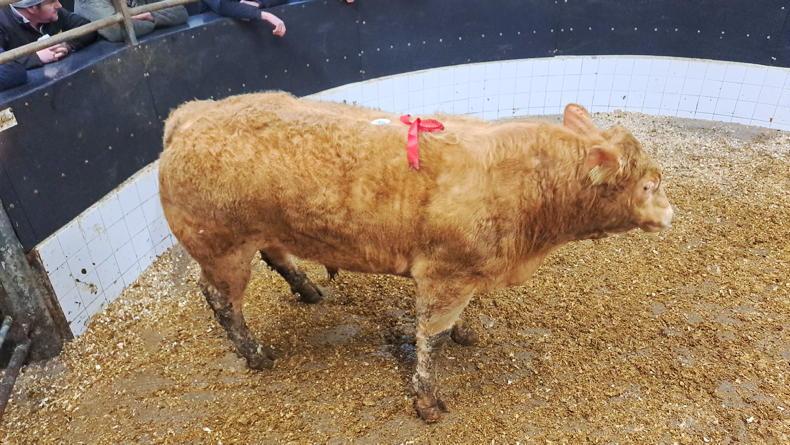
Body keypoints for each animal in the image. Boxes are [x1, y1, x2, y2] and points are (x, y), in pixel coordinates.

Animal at [158, 92, 673, 423]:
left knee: (277, 254)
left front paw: (466, 333)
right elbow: (431, 337)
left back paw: (309, 290)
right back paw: (257, 355)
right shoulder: (445, 274)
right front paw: (427, 401)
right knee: (222, 301)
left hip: (260, 231)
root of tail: (190, 116)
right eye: (649, 185)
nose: (670, 213)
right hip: (221, 247)